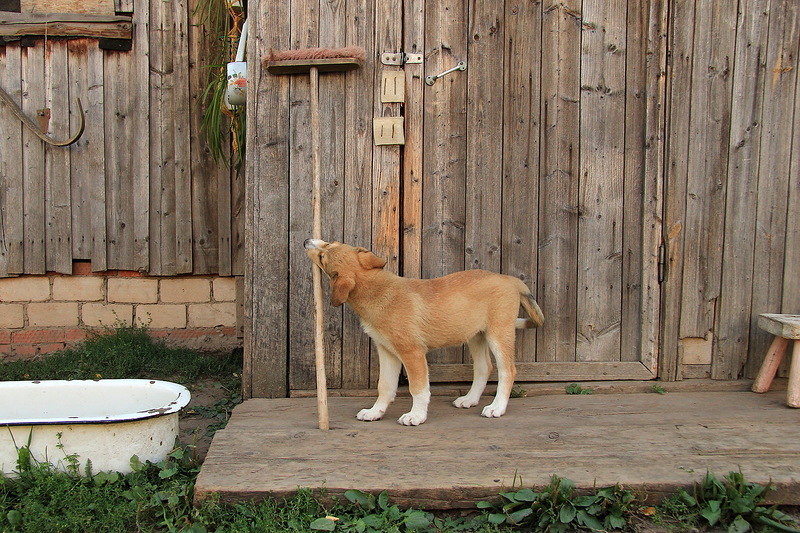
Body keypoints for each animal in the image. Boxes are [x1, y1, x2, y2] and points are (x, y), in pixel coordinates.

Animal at [302, 239, 544, 426]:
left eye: (322, 256)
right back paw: (469, 399)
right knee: (484, 368)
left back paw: (496, 408)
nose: (306, 241)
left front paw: (416, 416)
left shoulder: (412, 353)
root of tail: (510, 279)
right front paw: (375, 412)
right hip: (476, 336)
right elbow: (384, 386)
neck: (378, 291)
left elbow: (418, 388)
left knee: (507, 370)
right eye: (329, 244)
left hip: (499, 334)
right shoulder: (387, 352)